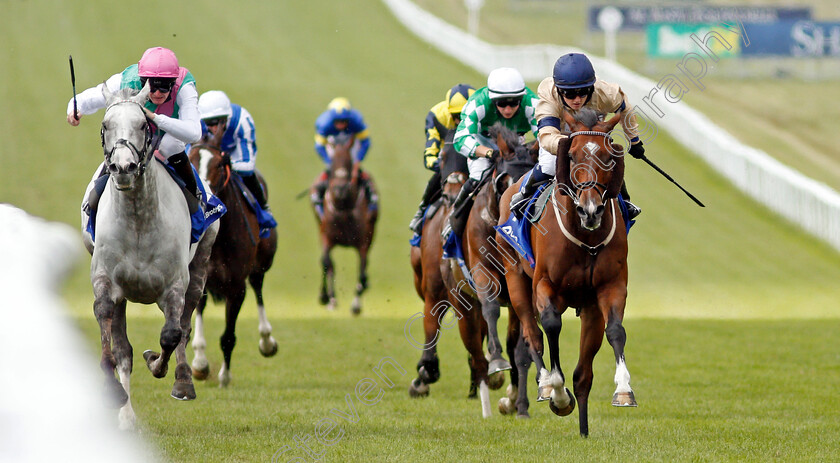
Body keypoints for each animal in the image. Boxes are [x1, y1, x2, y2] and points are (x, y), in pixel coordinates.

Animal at [80, 83, 218, 432]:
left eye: (143, 125)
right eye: (105, 125)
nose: (123, 167)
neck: (138, 220)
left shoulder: (174, 285)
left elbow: (171, 334)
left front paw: (160, 365)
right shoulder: (105, 277)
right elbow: (106, 320)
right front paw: (112, 390)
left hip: (201, 263)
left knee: (184, 326)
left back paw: (183, 379)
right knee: (123, 346)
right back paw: (126, 417)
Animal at [187, 131, 278, 388]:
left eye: (220, 164)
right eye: (190, 159)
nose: (204, 196)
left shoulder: (237, 287)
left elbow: (228, 336)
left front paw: (224, 377)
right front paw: (200, 365)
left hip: (262, 262)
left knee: (258, 286)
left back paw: (267, 341)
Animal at [312, 134, 378, 316]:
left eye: (348, 161)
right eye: (334, 161)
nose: (340, 189)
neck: (343, 207)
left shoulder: (363, 243)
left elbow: (362, 272)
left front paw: (356, 304)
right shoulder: (327, 238)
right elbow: (327, 263)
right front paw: (328, 298)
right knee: (326, 263)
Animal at [498, 107, 636, 436]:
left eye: (609, 157)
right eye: (571, 156)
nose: (591, 210)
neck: (586, 237)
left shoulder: (608, 288)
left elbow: (615, 332)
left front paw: (624, 390)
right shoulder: (544, 285)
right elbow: (550, 324)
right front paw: (557, 393)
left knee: (583, 373)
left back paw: (583, 429)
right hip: (515, 277)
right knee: (532, 333)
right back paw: (545, 385)